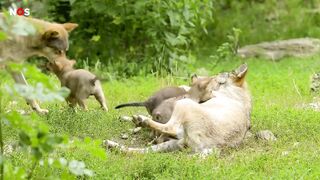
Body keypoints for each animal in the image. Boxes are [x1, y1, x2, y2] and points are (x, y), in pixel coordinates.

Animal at [106, 64, 251, 156]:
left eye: (218, 76)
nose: (213, 76)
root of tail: (208, 147)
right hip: (173, 142)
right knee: (141, 151)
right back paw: (112, 144)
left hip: (182, 109)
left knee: (169, 128)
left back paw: (141, 121)